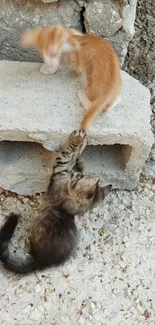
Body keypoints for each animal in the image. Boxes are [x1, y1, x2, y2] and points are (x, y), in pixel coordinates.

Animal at [0, 129, 111, 274]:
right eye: (82, 177)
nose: (78, 175)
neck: (66, 207)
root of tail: (41, 262)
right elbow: (74, 161)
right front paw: (80, 159)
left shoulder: (60, 171)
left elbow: (66, 155)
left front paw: (77, 139)